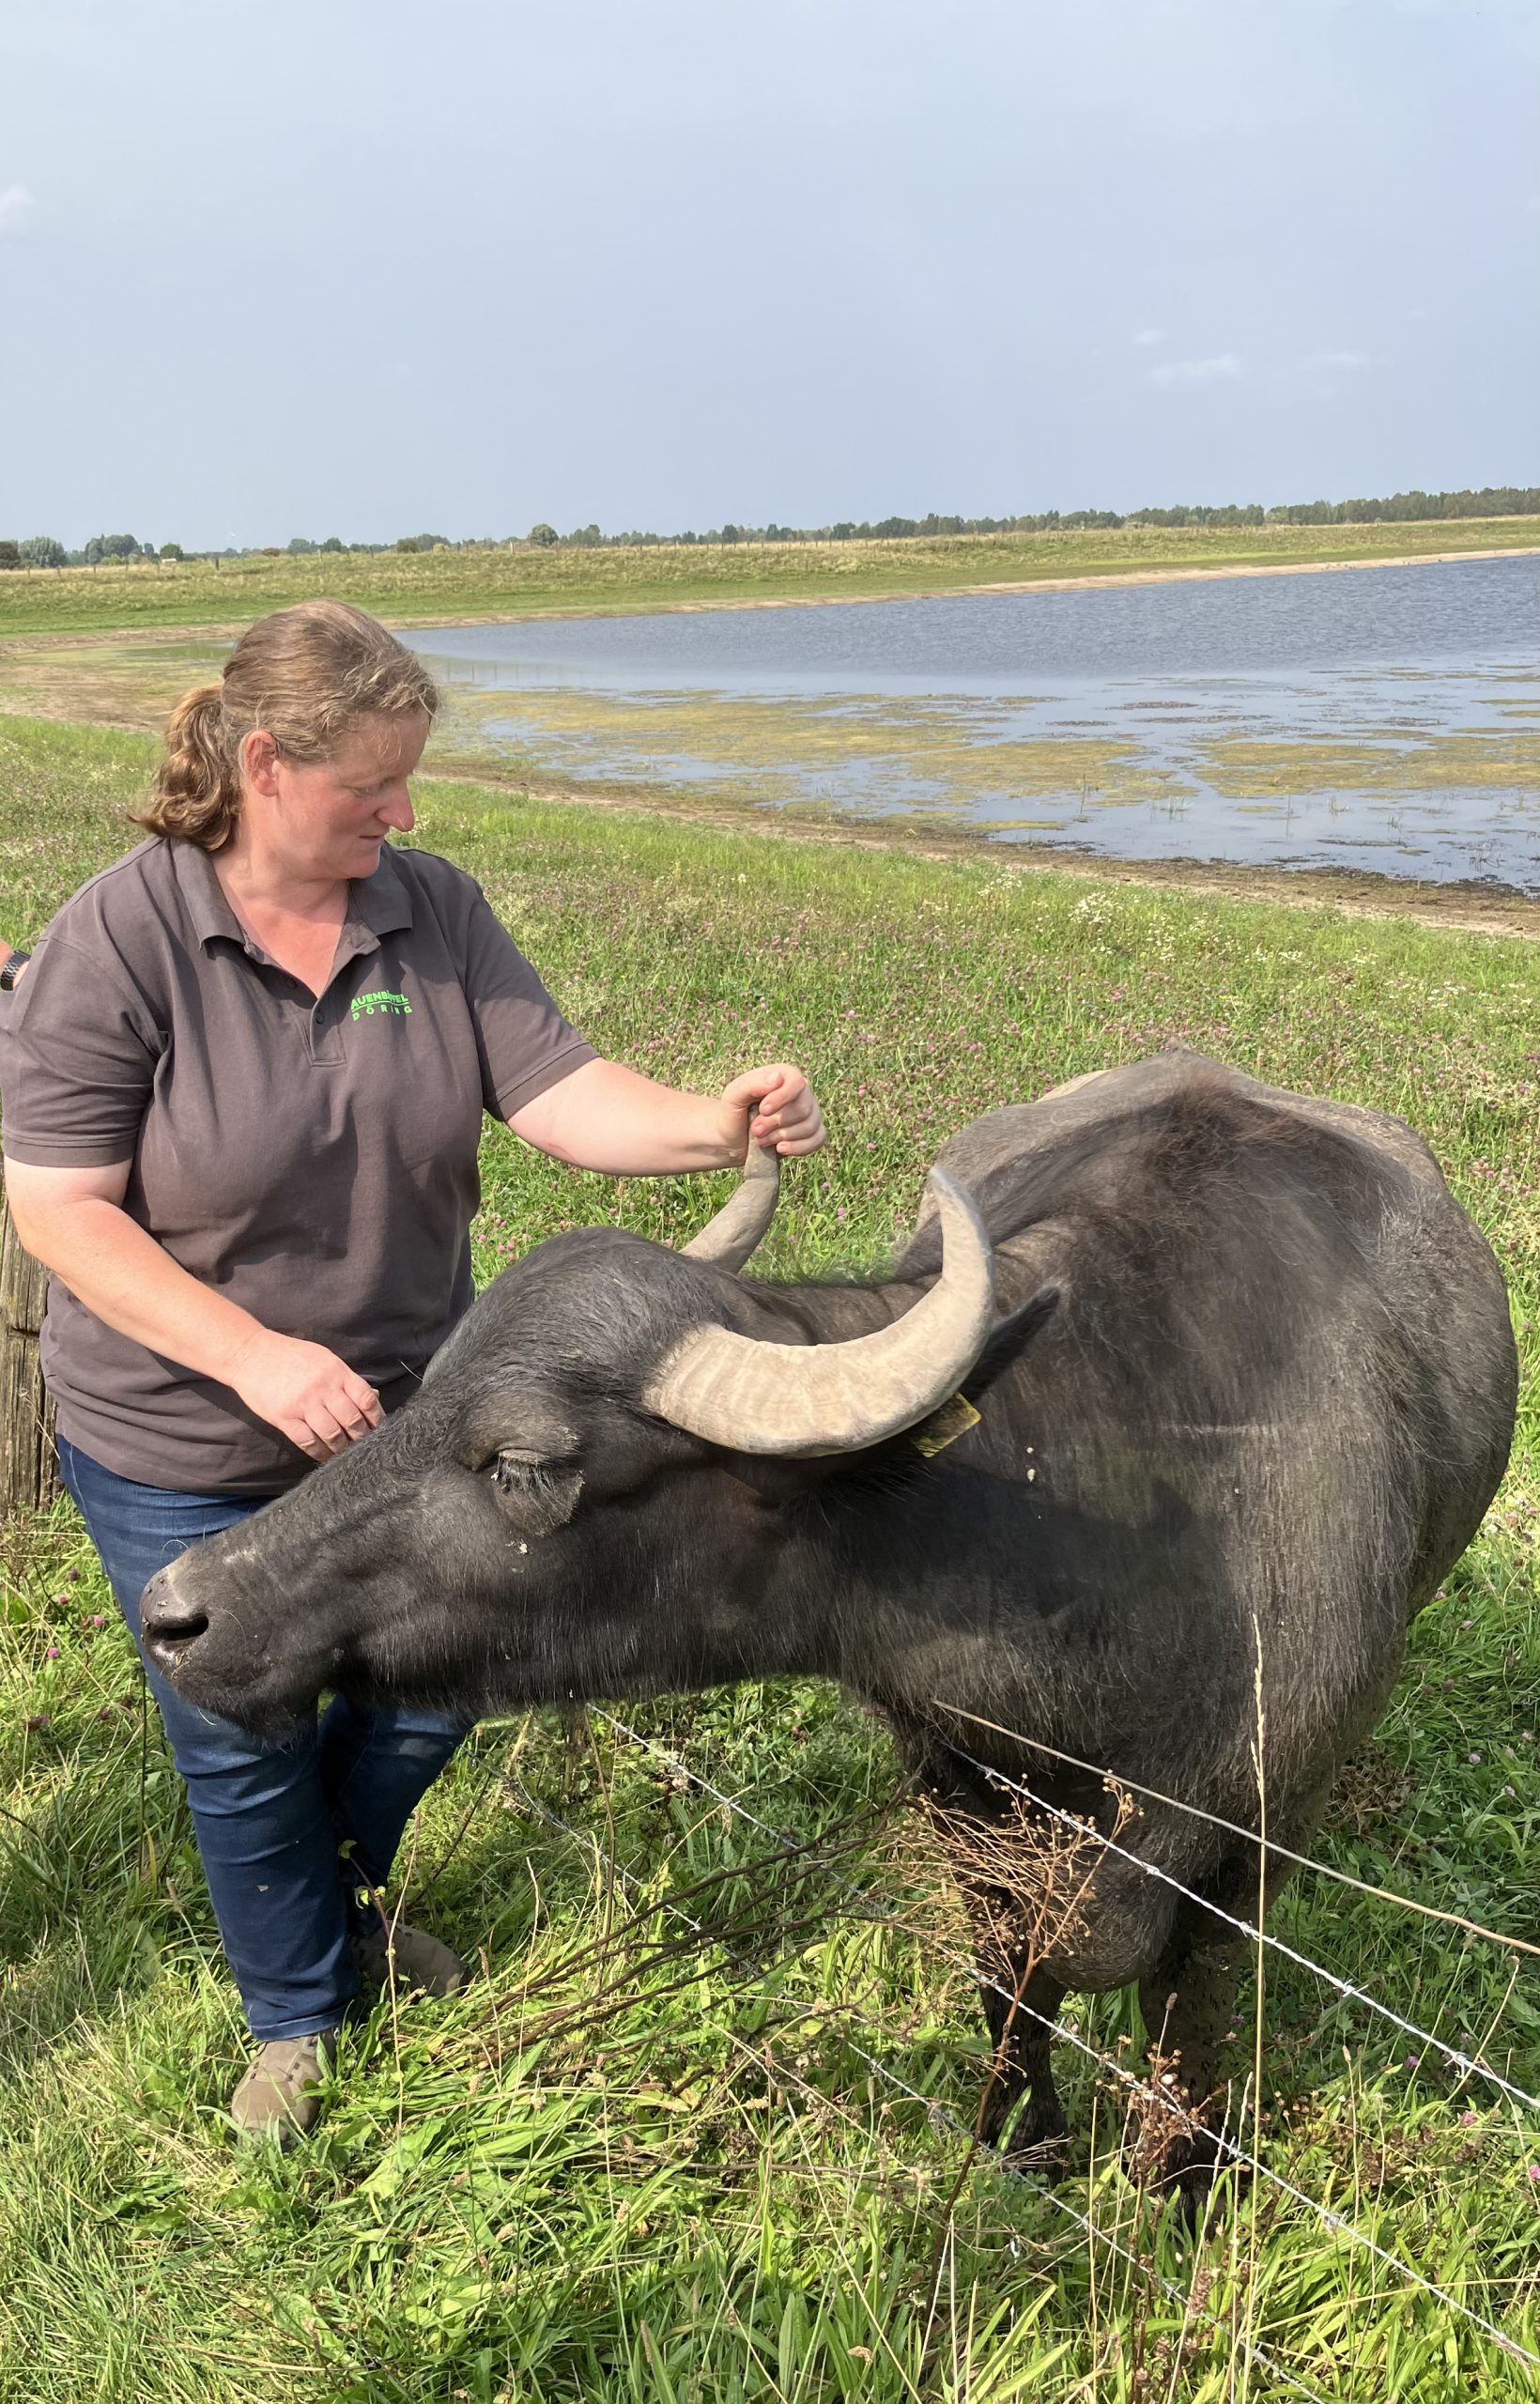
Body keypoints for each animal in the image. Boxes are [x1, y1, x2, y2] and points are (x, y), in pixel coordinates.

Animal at [141, 1050, 1516, 2201]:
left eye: (522, 1463)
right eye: (423, 1392)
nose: (179, 1609)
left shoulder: (1259, 1830)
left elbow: (1195, 2020)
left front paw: (1182, 2190)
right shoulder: (952, 1779)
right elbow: (1011, 1974)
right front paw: (1022, 2143)